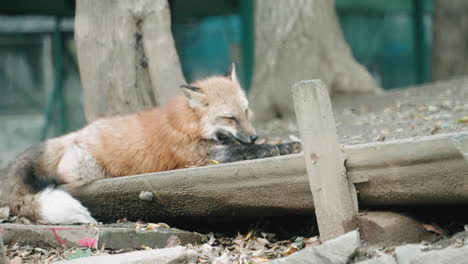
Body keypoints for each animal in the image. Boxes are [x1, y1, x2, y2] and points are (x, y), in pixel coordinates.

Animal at [0, 64, 302, 225]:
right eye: (230, 117)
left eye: (246, 112)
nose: (254, 136)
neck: (190, 124)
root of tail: (76, 133)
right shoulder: (201, 158)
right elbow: (244, 151)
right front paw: (269, 148)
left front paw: (288, 145)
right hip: (88, 170)